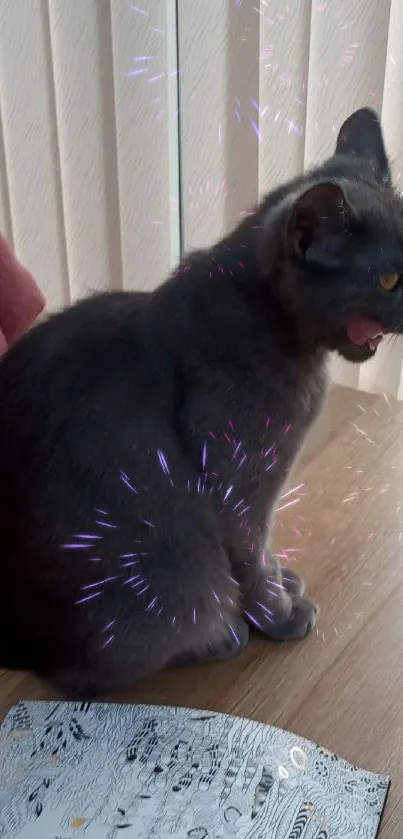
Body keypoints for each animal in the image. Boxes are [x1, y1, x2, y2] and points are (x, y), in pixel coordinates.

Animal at [0, 108, 400, 696]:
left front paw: (282, 582)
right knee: (86, 673)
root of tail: (18, 638)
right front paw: (279, 613)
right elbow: (250, 554)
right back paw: (221, 636)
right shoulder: (242, 482)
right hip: (160, 575)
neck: (278, 330)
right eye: (390, 279)